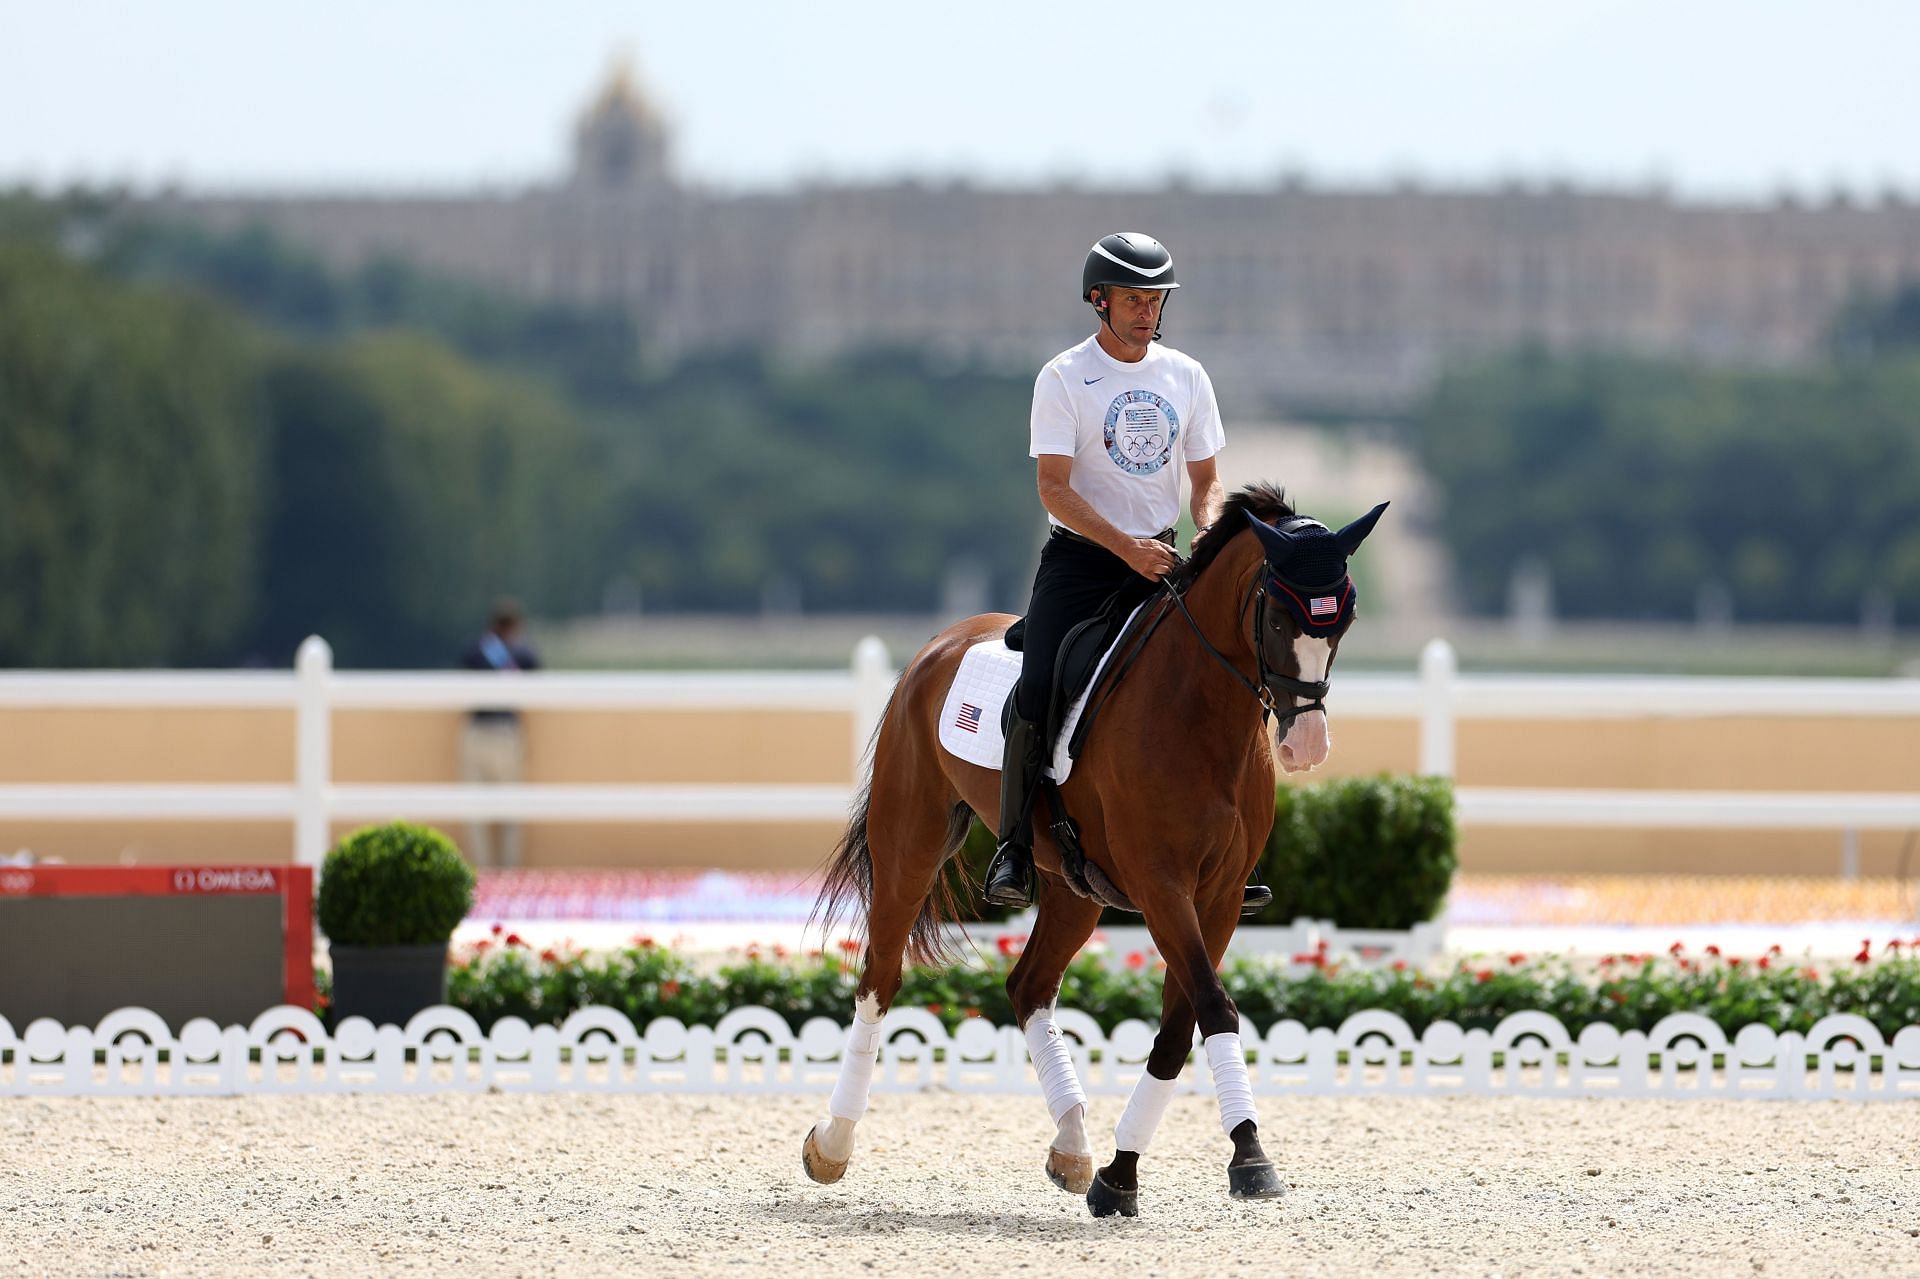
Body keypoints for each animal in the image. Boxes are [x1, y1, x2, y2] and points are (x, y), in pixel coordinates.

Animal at [802, 483, 1390, 1213]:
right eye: (1279, 619)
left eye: (1343, 619)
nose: (1305, 746)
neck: (1201, 711)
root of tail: (941, 643)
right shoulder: (1161, 884)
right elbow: (1213, 1005)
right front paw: (1250, 1156)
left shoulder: (1219, 895)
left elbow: (1180, 1024)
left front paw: (1120, 1175)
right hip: (909, 844)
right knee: (879, 978)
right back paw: (832, 1143)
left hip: (1072, 889)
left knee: (1029, 986)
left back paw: (1073, 1145)